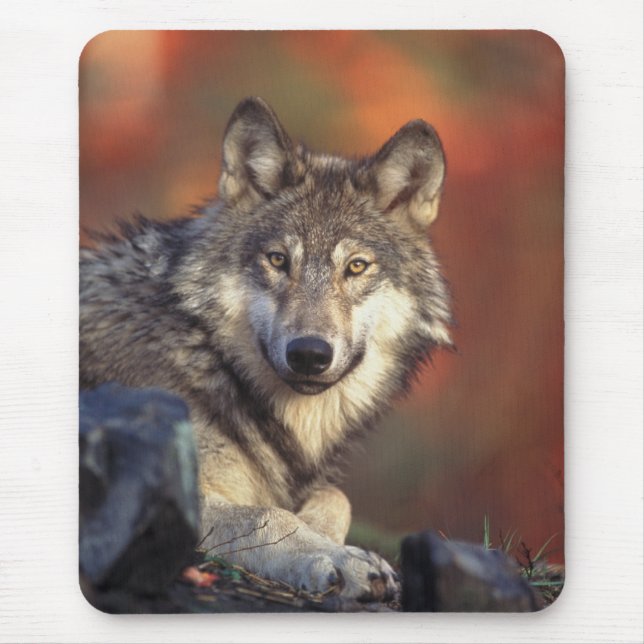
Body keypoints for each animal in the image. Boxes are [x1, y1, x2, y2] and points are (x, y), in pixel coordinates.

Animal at [80, 97, 452, 602]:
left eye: (356, 267)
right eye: (278, 260)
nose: (309, 353)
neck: (209, 356)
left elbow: (335, 497)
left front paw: (326, 535)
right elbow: (266, 516)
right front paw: (337, 558)